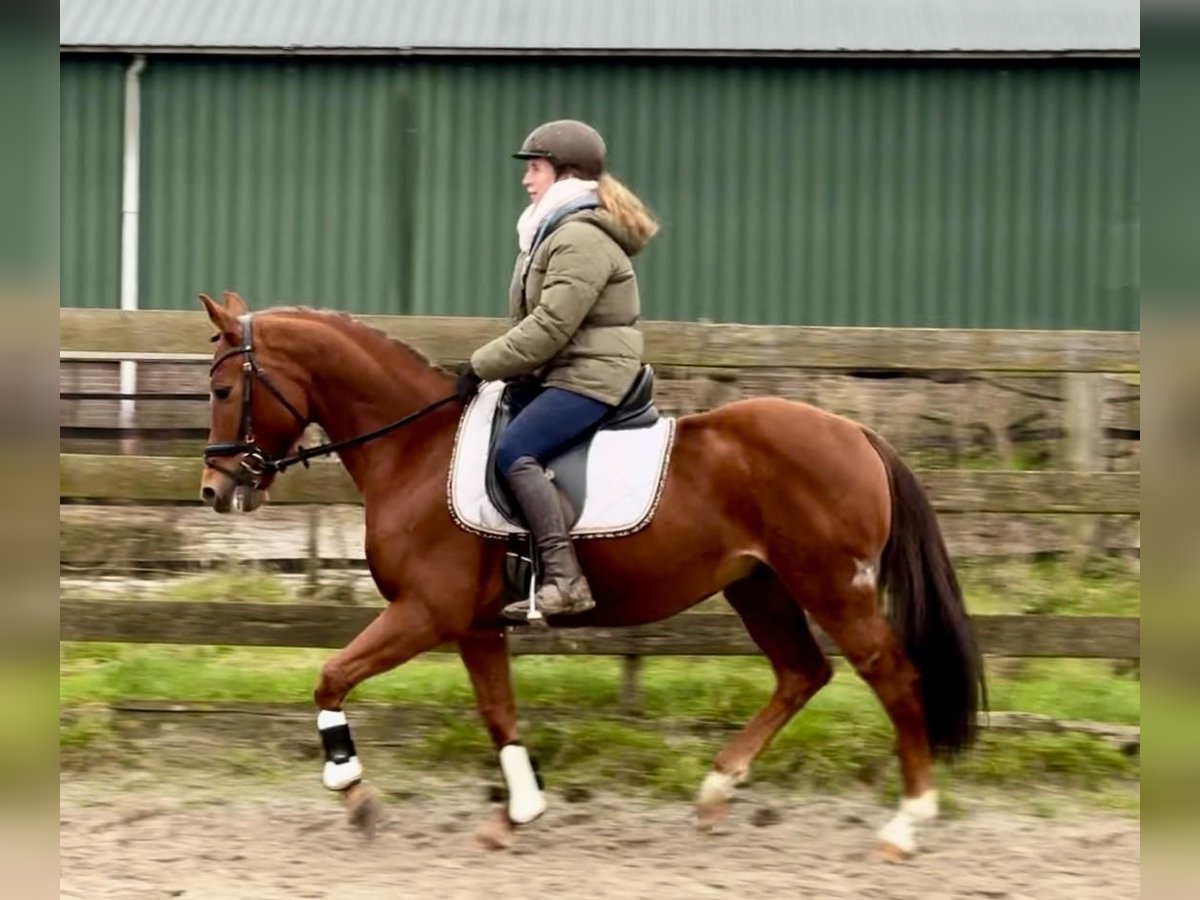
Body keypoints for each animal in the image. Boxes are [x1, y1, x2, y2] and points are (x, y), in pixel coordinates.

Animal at [196, 294, 984, 859]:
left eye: (226, 389)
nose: (215, 489)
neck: (414, 448)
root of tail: (858, 433)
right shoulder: (476, 627)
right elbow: (499, 714)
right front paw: (516, 815)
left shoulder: (426, 613)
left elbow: (331, 676)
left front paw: (355, 793)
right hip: (758, 587)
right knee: (801, 674)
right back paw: (716, 791)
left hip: (832, 587)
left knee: (893, 678)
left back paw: (905, 825)